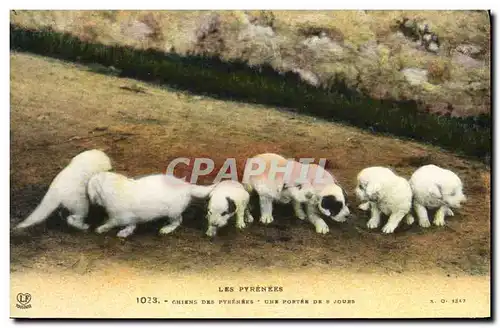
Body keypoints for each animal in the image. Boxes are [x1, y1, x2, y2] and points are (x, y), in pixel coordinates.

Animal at [87, 172, 215, 238]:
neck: (115, 187)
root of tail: (187, 186)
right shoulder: (131, 217)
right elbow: (132, 225)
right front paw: (126, 232)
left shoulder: (119, 217)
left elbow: (111, 223)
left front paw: (101, 228)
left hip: (173, 212)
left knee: (178, 221)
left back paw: (166, 229)